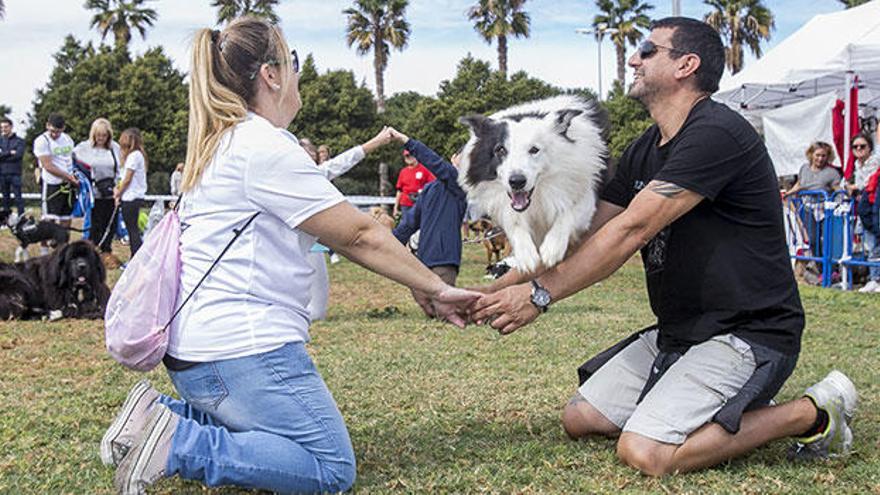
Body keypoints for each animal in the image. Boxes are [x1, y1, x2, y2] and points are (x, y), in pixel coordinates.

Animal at [458, 96, 608, 276]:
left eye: (534, 150)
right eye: (500, 150)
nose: (516, 181)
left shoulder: (584, 191)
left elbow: (568, 213)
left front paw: (552, 248)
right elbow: (514, 222)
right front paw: (525, 255)